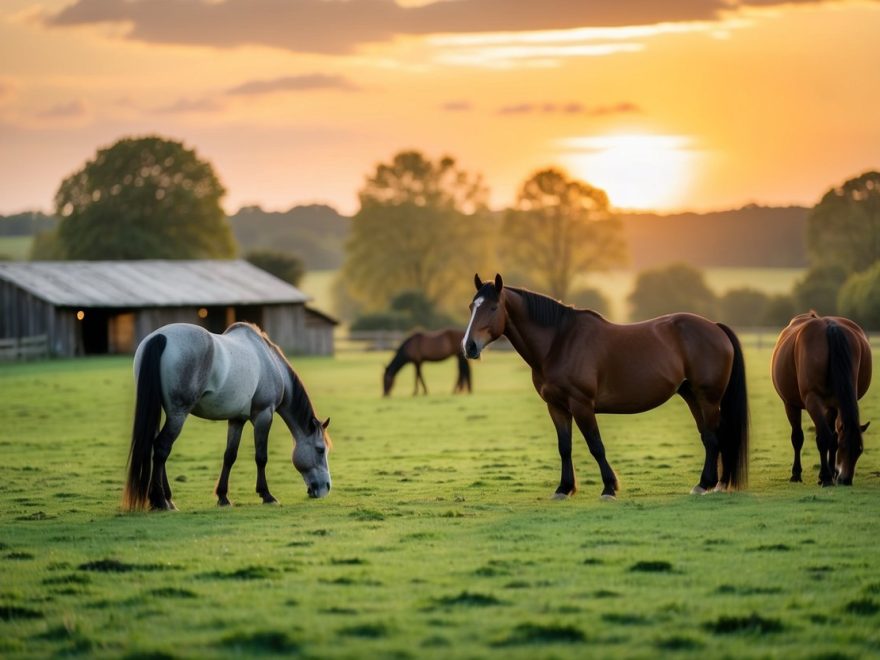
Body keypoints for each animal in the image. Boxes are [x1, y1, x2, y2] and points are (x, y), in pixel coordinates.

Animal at [460, 274, 748, 500]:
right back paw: (708, 484)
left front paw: (609, 488)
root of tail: (714, 328)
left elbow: (596, 445)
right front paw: (564, 488)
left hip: (708, 398)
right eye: (472, 306)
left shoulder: (581, 405)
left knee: (714, 437)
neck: (559, 342)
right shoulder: (556, 407)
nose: (469, 346)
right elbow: (565, 447)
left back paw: (708, 484)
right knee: (709, 438)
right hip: (692, 396)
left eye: (493, 307)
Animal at [768, 312, 868, 488]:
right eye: (844, 447)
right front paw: (808, 475)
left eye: (859, 450)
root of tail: (830, 327)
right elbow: (804, 438)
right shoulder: (793, 404)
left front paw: (827, 474)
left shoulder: (831, 405)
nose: (846, 480)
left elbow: (830, 437)